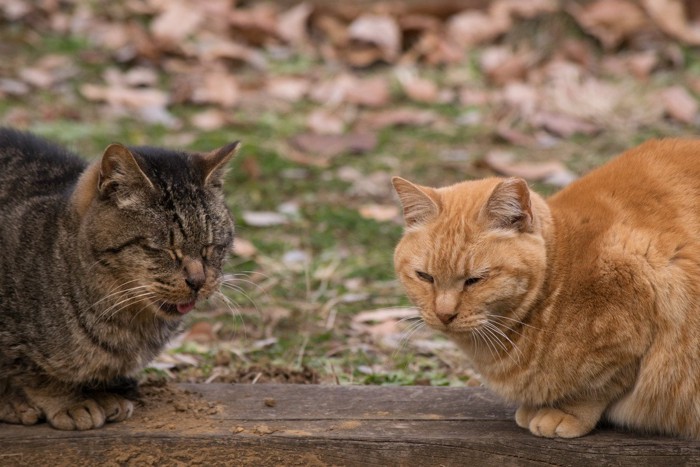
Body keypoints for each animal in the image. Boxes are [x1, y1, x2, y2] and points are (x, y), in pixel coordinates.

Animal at [0, 129, 238, 432]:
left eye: (211, 246)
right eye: (163, 248)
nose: (198, 281)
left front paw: (100, 394)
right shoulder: (16, 346)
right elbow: (34, 373)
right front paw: (65, 401)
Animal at [392, 139, 700, 438]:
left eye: (474, 280)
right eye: (425, 277)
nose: (444, 314)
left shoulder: (643, 308)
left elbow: (598, 386)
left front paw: (565, 412)